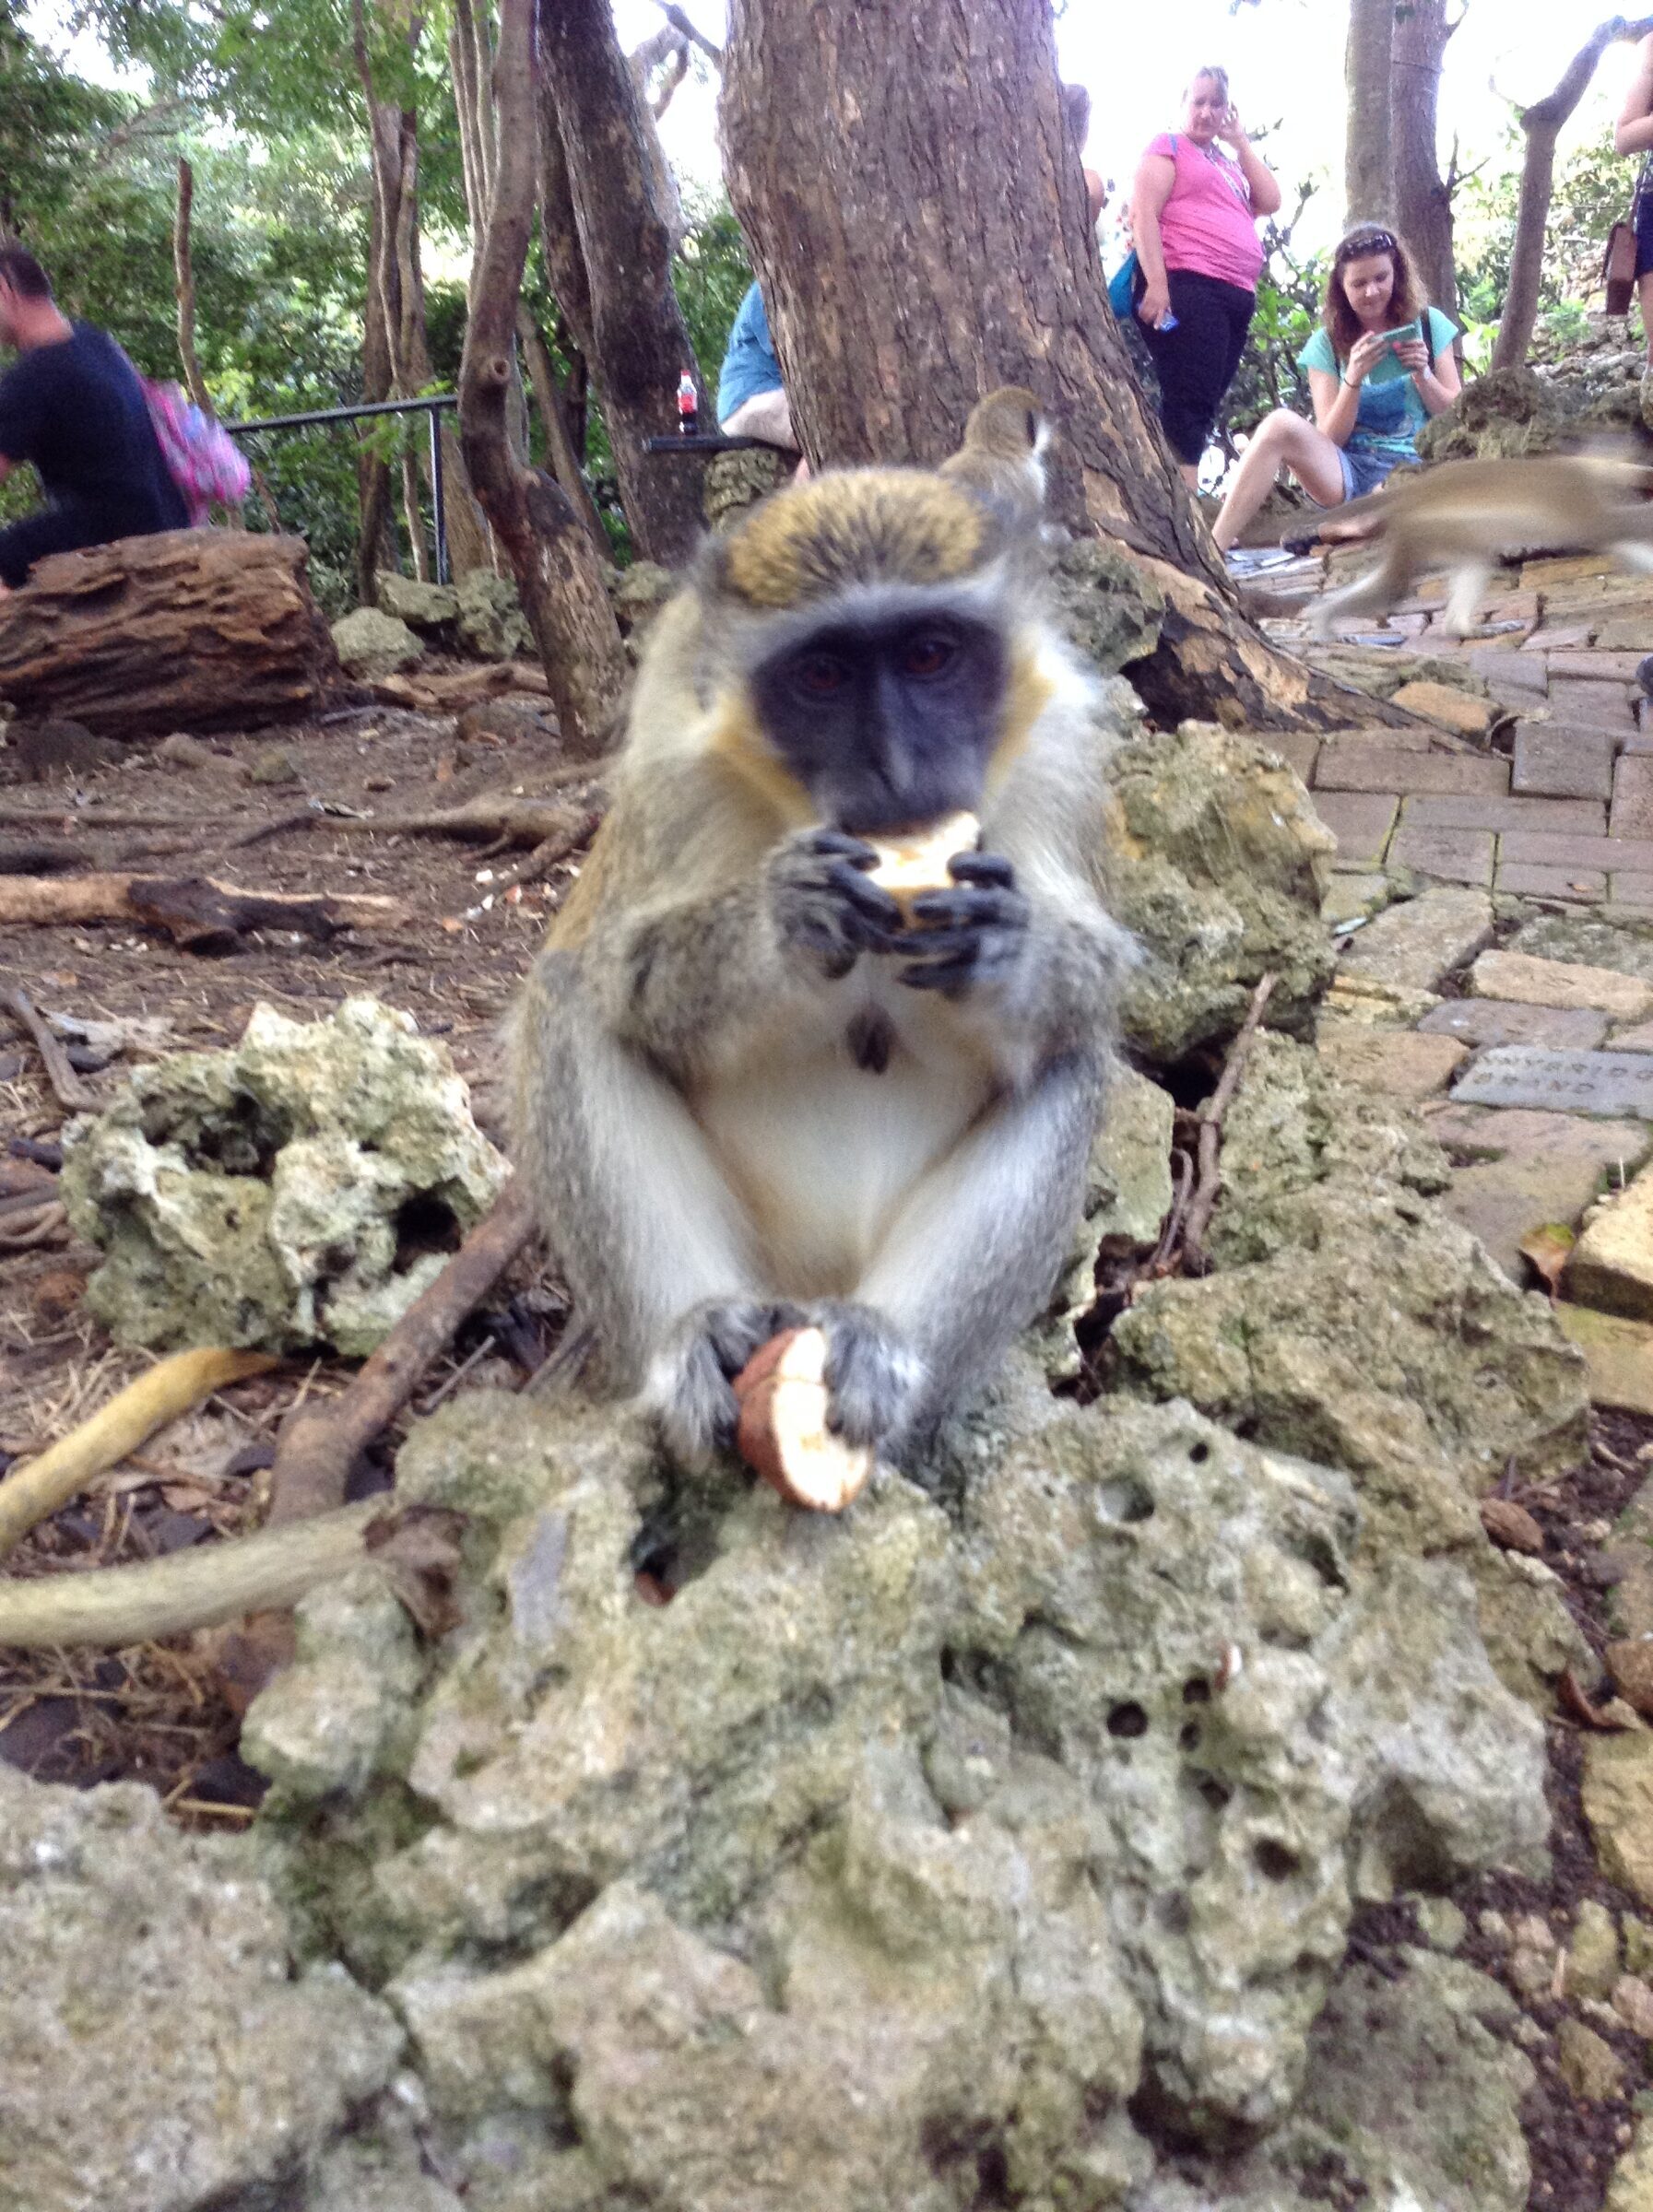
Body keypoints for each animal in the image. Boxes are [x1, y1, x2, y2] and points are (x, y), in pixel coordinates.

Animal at [512, 408, 1128, 1472]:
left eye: (928, 656)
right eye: (824, 674)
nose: (898, 767)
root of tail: (813, 1284)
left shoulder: (1057, 754)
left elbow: (1095, 983)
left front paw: (1004, 946)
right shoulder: (670, 744)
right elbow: (621, 974)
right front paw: (788, 918)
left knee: (1066, 1060)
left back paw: (882, 1346)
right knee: (568, 1004)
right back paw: (694, 1335)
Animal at [1303, 453, 1653, 640]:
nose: (1639, 482)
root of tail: (1413, 493)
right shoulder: (1582, 501)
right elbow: (1620, 526)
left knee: (1474, 561)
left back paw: (1462, 629)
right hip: (1423, 529)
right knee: (1393, 585)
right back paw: (1323, 619)